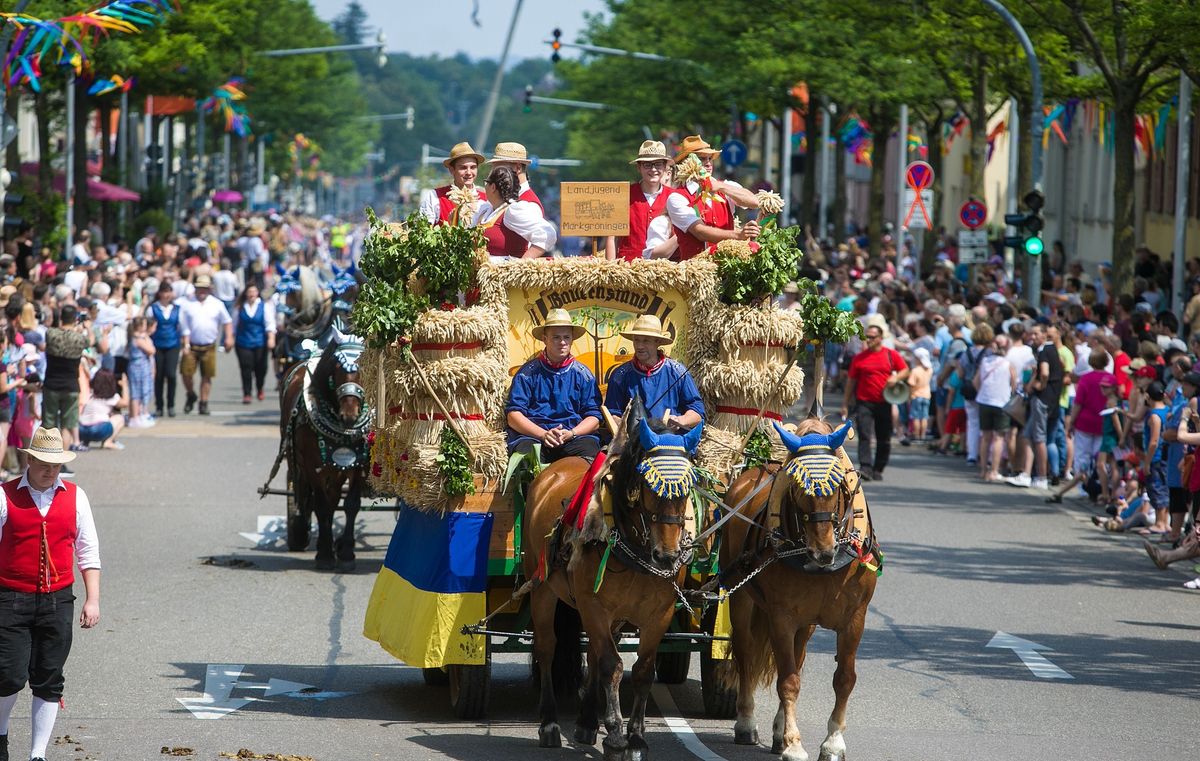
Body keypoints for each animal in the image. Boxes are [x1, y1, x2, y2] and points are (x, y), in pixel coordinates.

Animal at [280, 338, 369, 568]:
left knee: (334, 498)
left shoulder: (358, 465)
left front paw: (346, 552)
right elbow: (320, 506)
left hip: (337, 471)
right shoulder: (314, 466)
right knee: (308, 497)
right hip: (299, 460)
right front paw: (326, 555)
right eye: (336, 369)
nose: (349, 415)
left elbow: (351, 505)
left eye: (366, 366)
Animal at [523, 412, 700, 753]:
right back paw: (550, 723)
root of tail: (553, 470)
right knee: (547, 647)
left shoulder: (660, 613)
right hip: (541, 587)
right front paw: (617, 735)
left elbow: (642, 670)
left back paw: (587, 722)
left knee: (592, 651)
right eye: (647, 486)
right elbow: (611, 665)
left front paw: (636, 737)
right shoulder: (593, 605)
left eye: (688, 487)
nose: (667, 556)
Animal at [715, 415, 878, 758]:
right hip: (742, 598)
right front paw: (794, 744)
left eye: (839, 482)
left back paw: (777, 731)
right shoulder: (782, 617)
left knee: (797, 657)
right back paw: (747, 723)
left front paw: (832, 742)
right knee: (746, 655)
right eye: (796, 485)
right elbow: (788, 681)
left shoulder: (855, 618)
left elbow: (844, 678)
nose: (823, 551)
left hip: (807, 624)